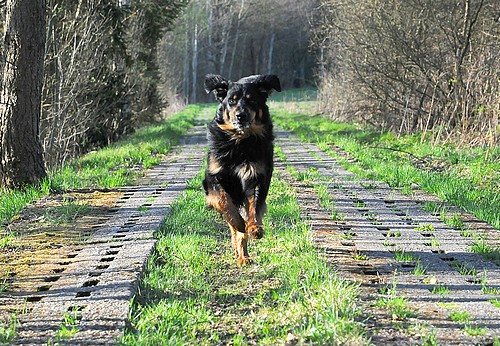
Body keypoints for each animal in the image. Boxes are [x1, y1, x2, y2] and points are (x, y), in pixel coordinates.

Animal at [203, 73, 282, 264]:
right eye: (231, 100)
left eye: (252, 100)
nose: (241, 116)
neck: (239, 142)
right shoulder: (214, 178)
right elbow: (225, 204)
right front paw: (239, 224)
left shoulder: (256, 176)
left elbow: (254, 205)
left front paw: (254, 228)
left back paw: (244, 256)